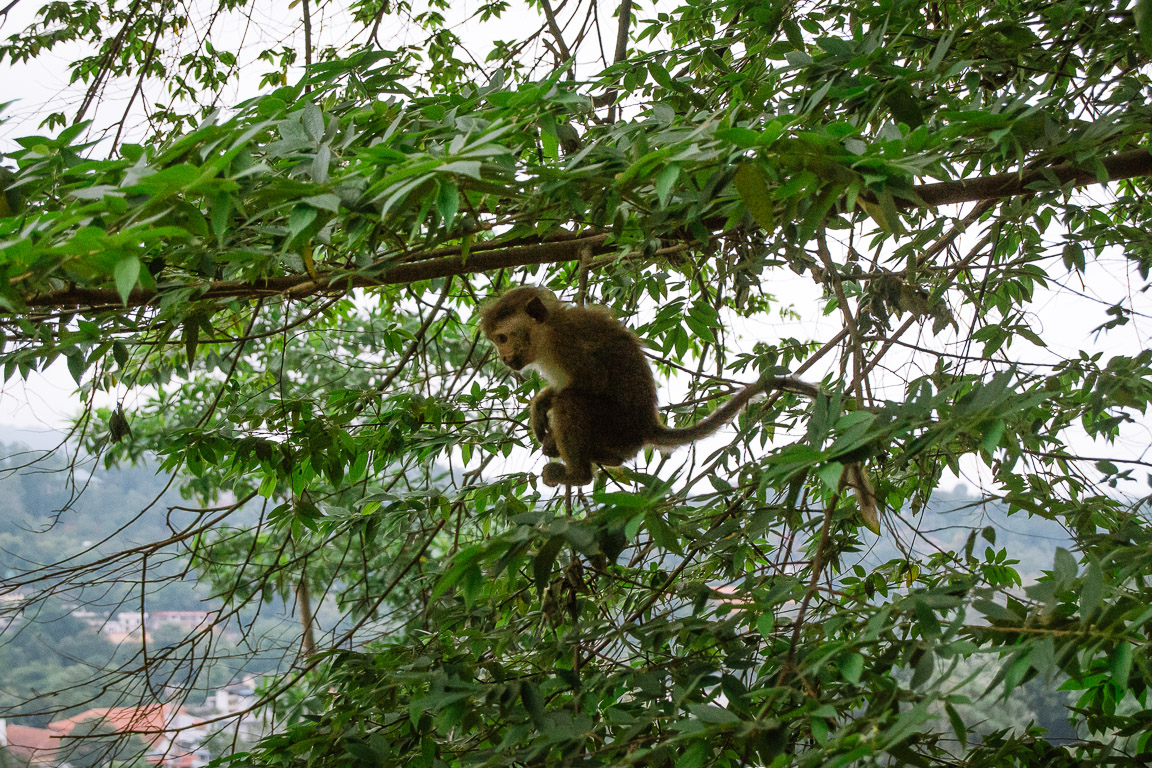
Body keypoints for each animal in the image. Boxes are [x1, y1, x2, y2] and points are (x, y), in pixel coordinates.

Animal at [476, 285, 820, 490]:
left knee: (572, 402)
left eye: (503, 338)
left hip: (618, 428)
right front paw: (539, 406)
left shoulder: (566, 343)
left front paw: (546, 405)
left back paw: (577, 473)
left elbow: (589, 383)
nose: (503, 357)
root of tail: (646, 425)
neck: (546, 333)